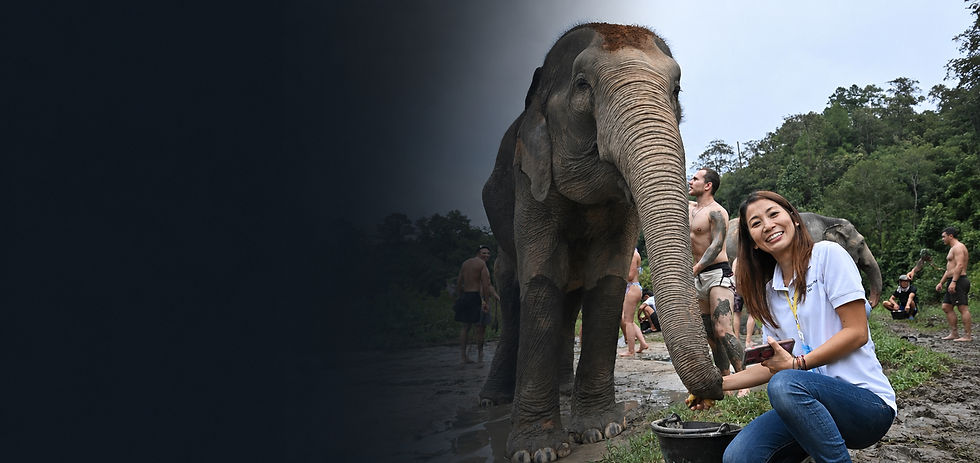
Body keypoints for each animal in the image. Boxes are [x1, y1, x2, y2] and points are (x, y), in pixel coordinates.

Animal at [479, 23, 722, 462]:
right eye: (582, 85)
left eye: (677, 89)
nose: (716, 390)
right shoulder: (530, 178)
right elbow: (540, 278)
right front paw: (537, 451)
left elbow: (608, 279)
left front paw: (600, 430)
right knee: (511, 288)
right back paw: (492, 399)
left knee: (570, 295)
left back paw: (562, 390)